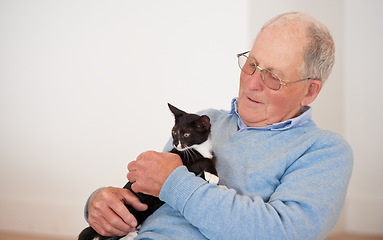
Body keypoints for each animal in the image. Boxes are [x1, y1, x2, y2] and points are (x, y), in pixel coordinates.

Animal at [79, 103, 219, 240]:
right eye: (173, 131)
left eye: (186, 134)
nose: (175, 144)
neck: (199, 148)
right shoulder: (184, 161)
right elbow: (204, 160)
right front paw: (214, 176)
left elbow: (208, 162)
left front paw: (212, 177)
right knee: (107, 236)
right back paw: (130, 234)